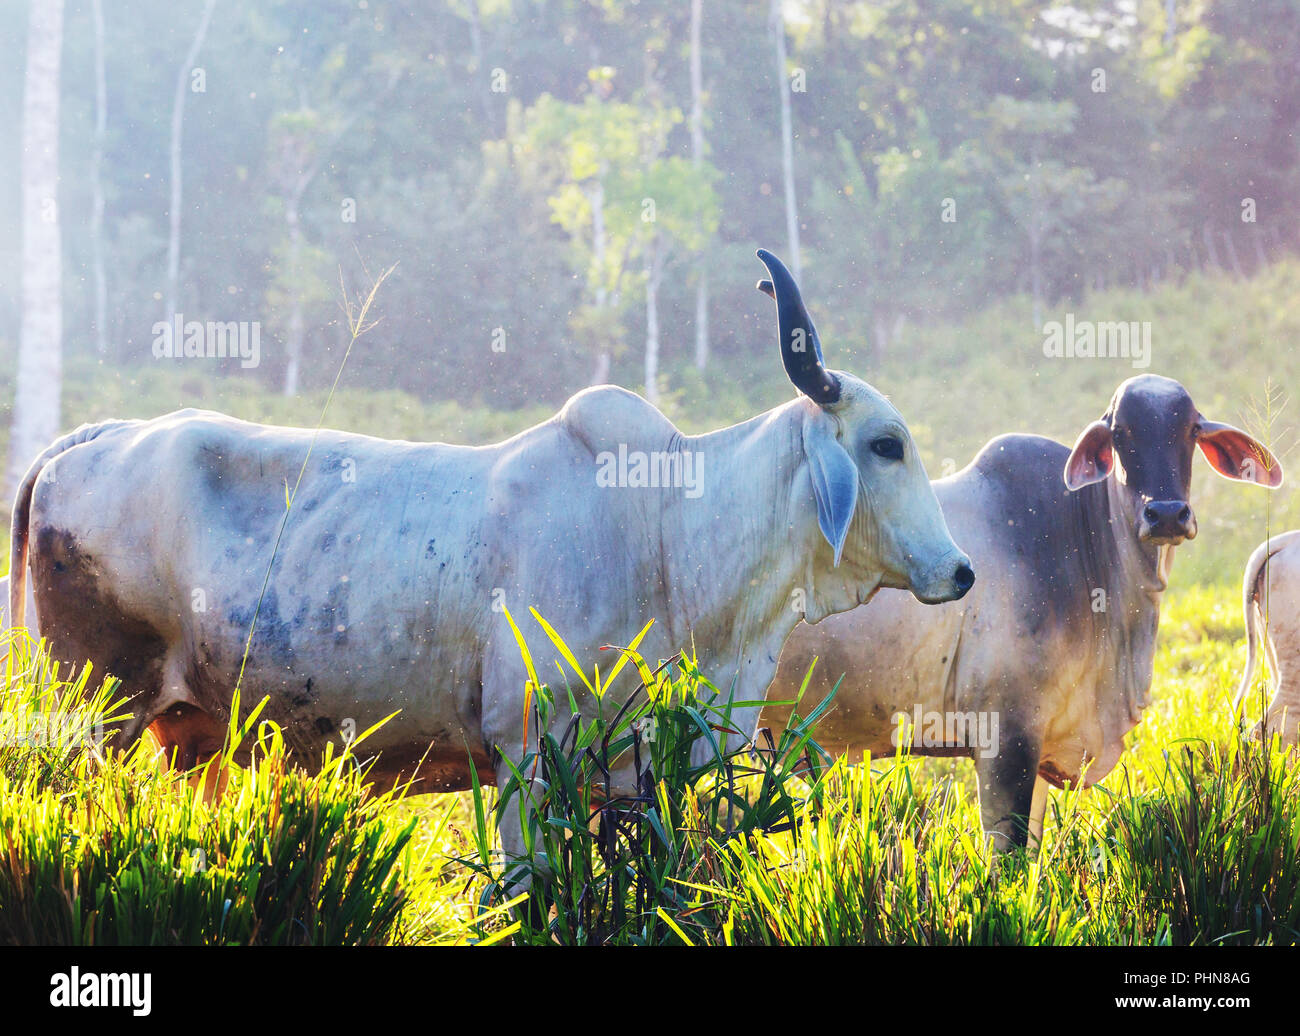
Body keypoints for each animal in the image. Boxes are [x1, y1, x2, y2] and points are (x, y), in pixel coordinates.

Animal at [5, 250, 972, 857]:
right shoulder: (525, 756)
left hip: (190, 736)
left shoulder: (626, 779)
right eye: (886, 444)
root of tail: (93, 436)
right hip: (96, 712)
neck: (668, 534)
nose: (962, 571)